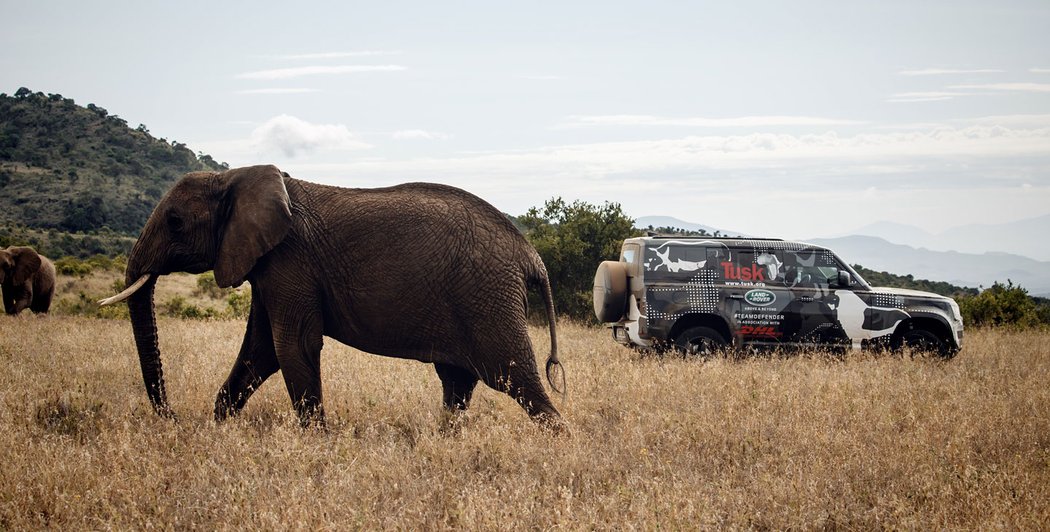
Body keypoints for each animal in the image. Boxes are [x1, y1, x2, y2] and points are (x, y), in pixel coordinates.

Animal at [100, 164, 567, 430]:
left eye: (174, 222)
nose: (173, 418)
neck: (235, 178)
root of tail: (531, 255)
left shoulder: (289, 260)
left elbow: (292, 346)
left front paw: (315, 441)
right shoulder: (267, 265)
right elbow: (260, 351)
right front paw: (216, 429)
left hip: (487, 298)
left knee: (516, 379)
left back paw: (558, 443)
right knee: (457, 382)